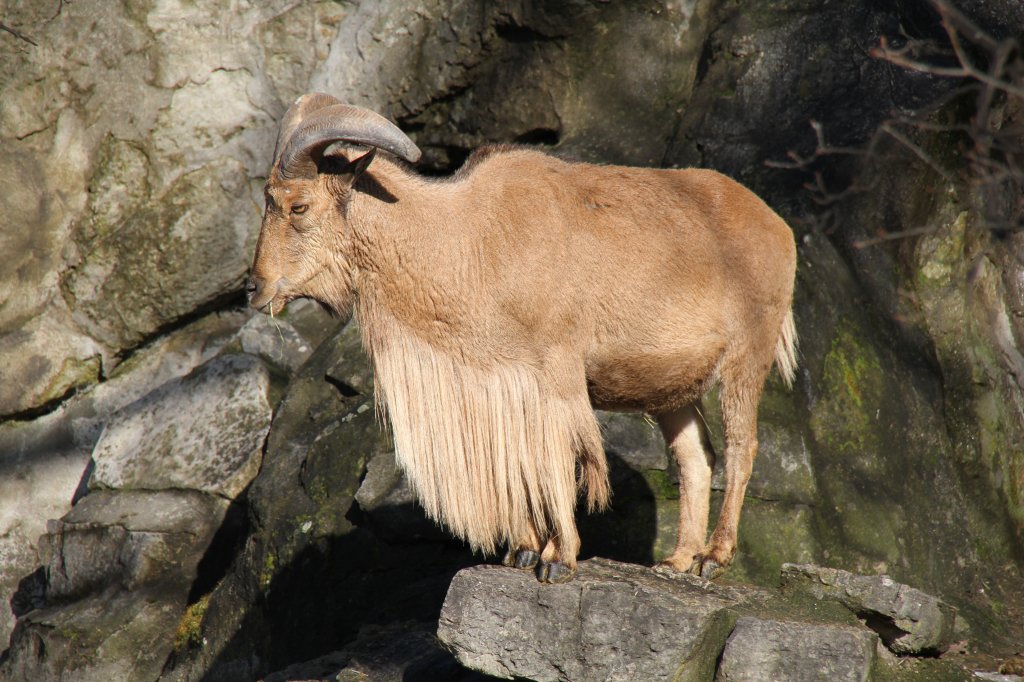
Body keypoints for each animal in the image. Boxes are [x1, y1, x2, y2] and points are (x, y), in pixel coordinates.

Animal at [247, 93, 798, 581]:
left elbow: (559, 457)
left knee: (742, 448)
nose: (255, 287)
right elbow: (525, 464)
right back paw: (677, 560)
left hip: (747, 357)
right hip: (672, 389)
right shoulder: (505, 388)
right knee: (695, 458)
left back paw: (714, 558)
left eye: (298, 207)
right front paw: (525, 551)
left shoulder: (556, 371)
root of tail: (778, 226)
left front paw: (559, 559)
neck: (466, 240)